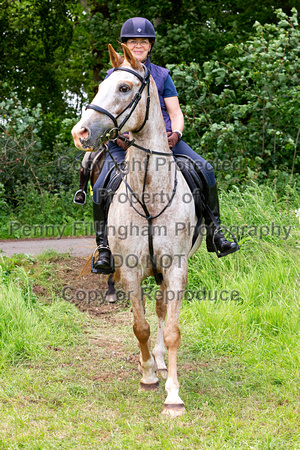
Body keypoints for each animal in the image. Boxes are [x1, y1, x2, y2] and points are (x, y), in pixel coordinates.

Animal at [72, 44, 204, 416]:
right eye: (101, 86)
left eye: (124, 88)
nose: (80, 133)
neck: (149, 194)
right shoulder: (130, 270)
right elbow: (140, 326)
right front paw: (147, 376)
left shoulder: (176, 267)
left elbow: (171, 328)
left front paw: (173, 395)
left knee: (161, 309)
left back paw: (160, 362)